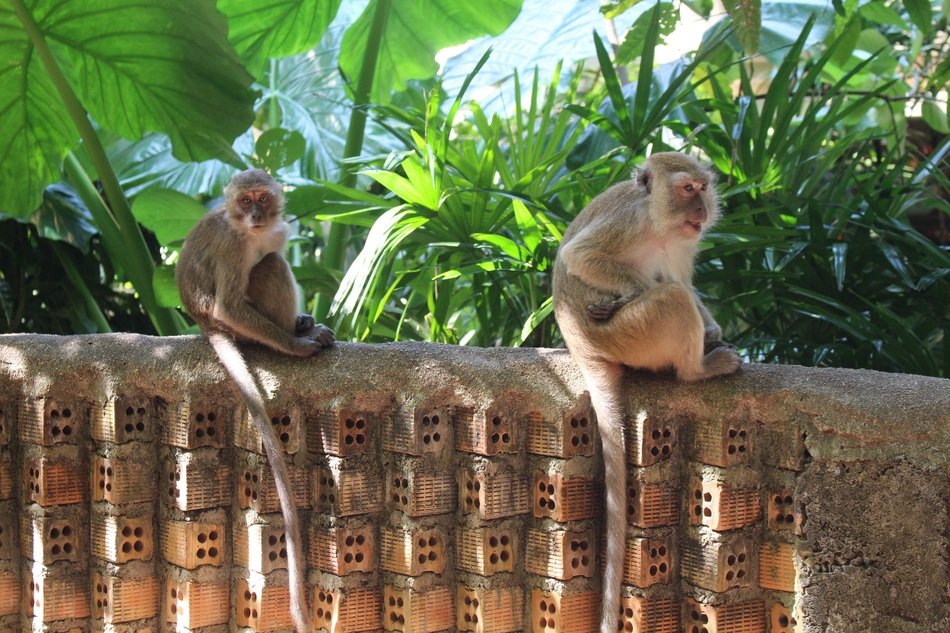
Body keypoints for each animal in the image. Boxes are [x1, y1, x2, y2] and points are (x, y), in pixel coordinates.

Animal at [176, 168, 333, 633]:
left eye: (262, 198)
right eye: (245, 201)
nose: (256, 214)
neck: (251, 232)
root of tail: (202, 322)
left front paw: (302, 326)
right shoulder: (232, 246)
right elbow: (231, 303)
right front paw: (297, 345)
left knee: (272, 260)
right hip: (238, 326)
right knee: (268, 269)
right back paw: (291, 336)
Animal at [552, 152, 741, 633]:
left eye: (703, 188)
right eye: (686, 189)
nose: (702, 210)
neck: (660, 223)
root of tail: (583, 347)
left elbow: (684, 281)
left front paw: (714, 328)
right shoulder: (628, 222)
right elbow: (581, 256)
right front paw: (629, 291)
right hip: (631, 336)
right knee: (671, 299)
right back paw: (697, 370)